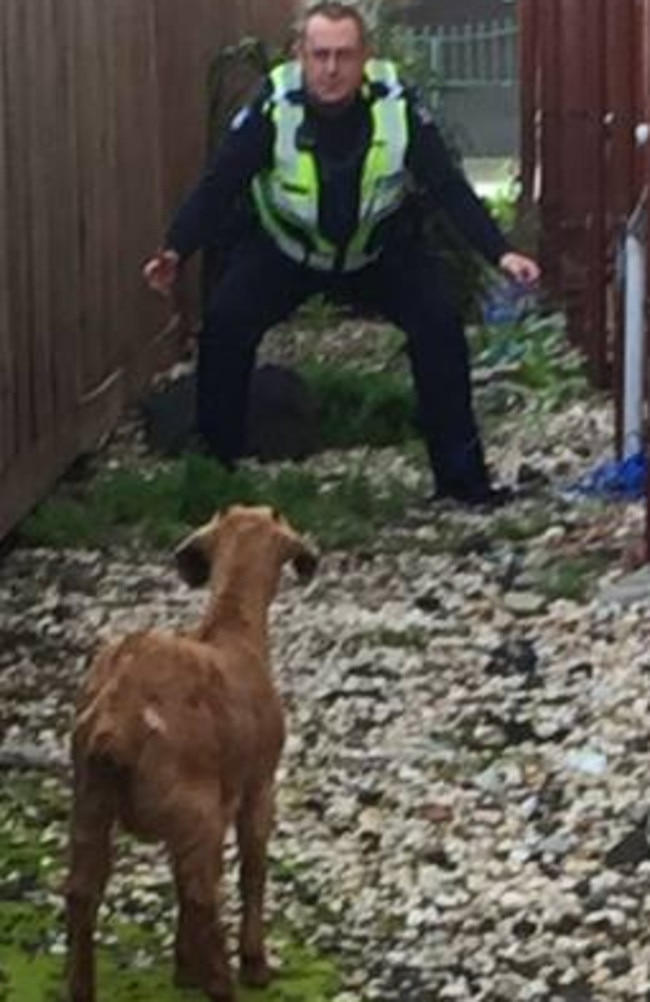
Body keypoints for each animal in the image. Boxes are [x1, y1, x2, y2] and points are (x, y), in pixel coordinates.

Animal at [65, 509, 316, 1002]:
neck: (234, 636)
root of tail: (115, 720)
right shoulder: (257, 785)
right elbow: (252, 868)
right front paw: (255, 965)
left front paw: (184, 971)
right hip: (193, 808)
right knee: (203, 894)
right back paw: (223, 984)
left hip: (91, 800)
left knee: (81, 891)